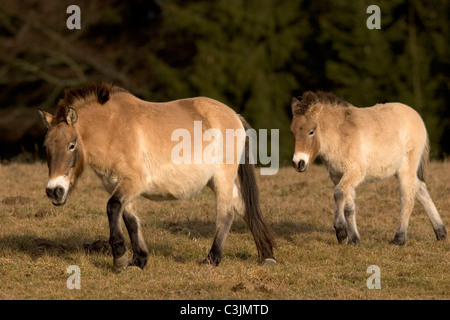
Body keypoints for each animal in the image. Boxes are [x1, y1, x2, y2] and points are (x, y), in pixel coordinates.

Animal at [38, 82, 276, 270]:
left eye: (71, 145)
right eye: (46, 146)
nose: (54, 191)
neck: (113, 129)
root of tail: (234, 116)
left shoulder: (133, 183)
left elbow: (112, 208)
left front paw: (119, 258)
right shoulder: (117, 185)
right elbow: (130, 220)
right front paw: (138, 261)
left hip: (222, 179)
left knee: (226, 214)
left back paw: (212, 259)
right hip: (215, 181)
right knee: (243, 207)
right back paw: (267, 257)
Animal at [290, 90, 444, 245]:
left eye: (311, 131)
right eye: (293, 132)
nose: (298, 163)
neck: (340, 135)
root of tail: (416, 116)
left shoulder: (355, 171)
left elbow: (339, 193)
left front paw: (341, 232)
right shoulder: (337, 175)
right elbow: (348, 206)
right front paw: (354, 240)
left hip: (407, 167)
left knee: (407, 198)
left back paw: (399, 238)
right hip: (400, 169)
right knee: (421, 190)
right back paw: (441, 232)